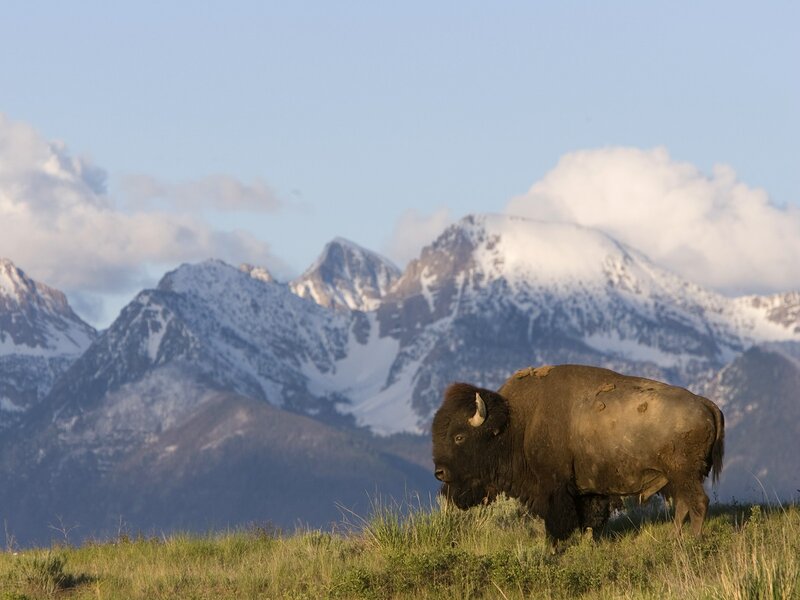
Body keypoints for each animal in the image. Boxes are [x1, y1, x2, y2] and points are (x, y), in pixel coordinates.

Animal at [432, 365, 724, 542]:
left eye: (459, 436)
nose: (439, 472)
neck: (516, 423)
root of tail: (704, 403)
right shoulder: (587, 490)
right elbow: (589, 519)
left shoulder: (554, 488)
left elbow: (559, 521)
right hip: (678, 478)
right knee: (684, 505)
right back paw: (675, 538)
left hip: (684, 475)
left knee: (698, 503)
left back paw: (692, 541)